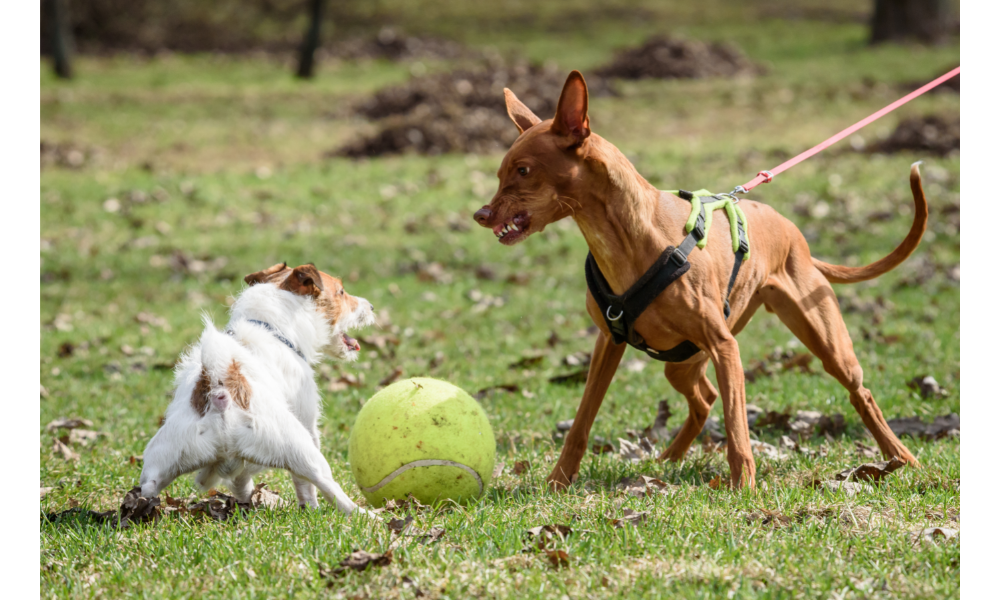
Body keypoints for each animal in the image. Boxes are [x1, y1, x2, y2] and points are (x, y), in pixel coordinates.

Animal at [138, 262, 376, 516]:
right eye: (341, 292)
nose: (371, 306)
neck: (272, 329)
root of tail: (222, 393)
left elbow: (241, 481)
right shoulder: (308, 419)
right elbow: (305, 486)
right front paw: (310, 509)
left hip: (162, 459)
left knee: (148, 488)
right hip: (302, 450)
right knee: (330, 489)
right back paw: (367, 516)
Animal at [472, 71, 924, 492]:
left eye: (523, 170)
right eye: (499, 173)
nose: (481, 215)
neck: (628, 238)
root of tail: (796, 235)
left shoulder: (726, 348)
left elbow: (737, 429)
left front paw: (744, 488)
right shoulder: (609, 342)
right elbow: (582, 423)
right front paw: (558, 482)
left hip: (823, 342)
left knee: (860, 394)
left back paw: (902, 458)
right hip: (682, 363)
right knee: (704, 399)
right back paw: (669, 459)